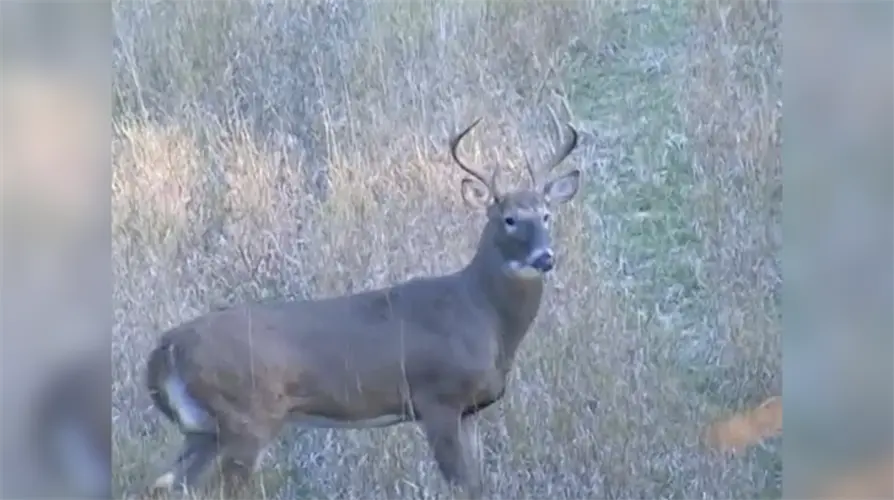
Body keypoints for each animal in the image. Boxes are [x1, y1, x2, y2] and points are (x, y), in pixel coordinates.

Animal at [144, 117, 582, 499]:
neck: (481, 314)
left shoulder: (470, 410)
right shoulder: (437, 399)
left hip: (205, 429)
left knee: (166, 484)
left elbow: (477, 484)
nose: (545, 257)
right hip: (246, 418)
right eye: (509, 218)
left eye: (547, 214)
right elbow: (460, 486)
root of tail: (165, 349)